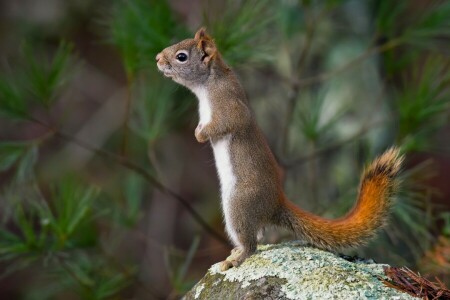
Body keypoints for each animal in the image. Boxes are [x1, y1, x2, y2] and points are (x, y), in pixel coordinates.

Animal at [156, 28, 404, 272]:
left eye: (181, 56)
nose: (157, 58)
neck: (209, 82)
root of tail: (276, 203)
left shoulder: (228, 105)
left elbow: (225, 123)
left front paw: (200, 134)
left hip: (239, 205)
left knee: (251, 244)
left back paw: (235, 259)